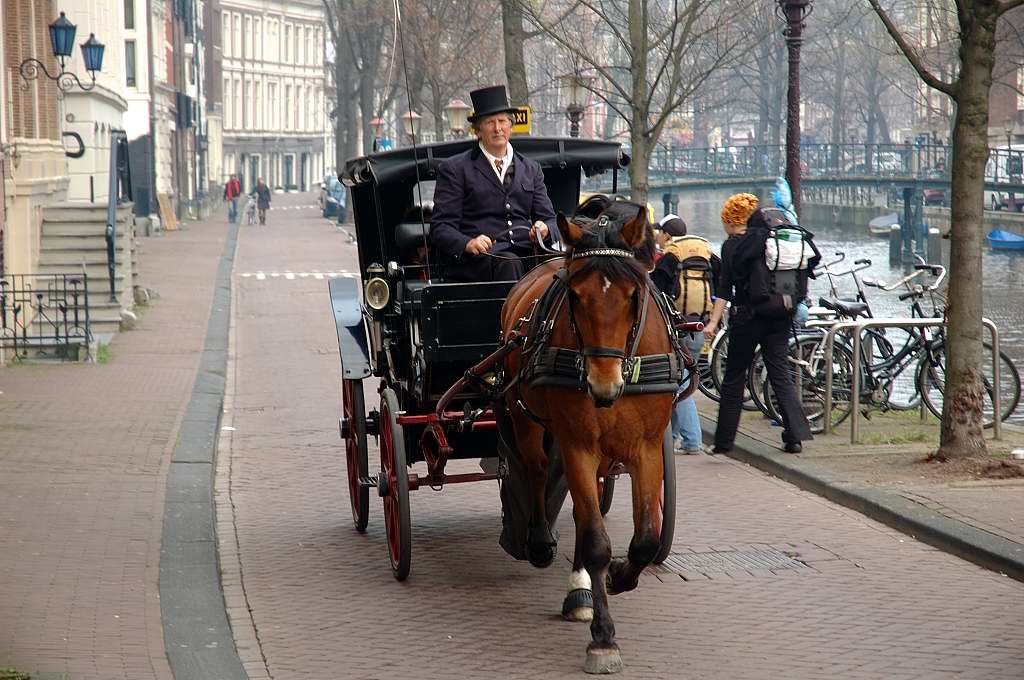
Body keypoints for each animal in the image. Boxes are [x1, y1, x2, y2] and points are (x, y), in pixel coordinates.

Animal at [501, 197, 684, 675]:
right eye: (575, 296)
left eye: (634, 294)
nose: (604, 384)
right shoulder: (577, 444)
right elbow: (597, 540)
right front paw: (603, 639)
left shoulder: (646, 448)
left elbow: (645, 539)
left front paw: (619, 577)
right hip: (527, 420)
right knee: (537, 471)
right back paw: (540, 543)